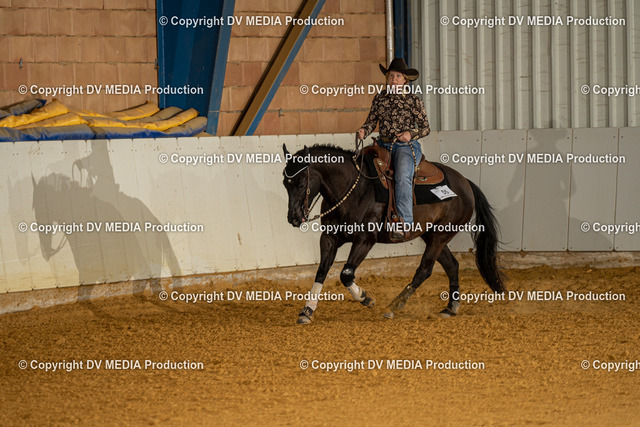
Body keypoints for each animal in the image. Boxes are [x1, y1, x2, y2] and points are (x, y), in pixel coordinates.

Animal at [282, 143, 505, 324]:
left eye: (301, 184)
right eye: (285, 183)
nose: (294, 218)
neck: (353, 190)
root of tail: (465, 182)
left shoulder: (365, 240)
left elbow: (346, 274)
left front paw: (366, 298)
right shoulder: (329, 238)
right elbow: (321, 271)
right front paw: (307, 311)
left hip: (441, 236)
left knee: (424, 269)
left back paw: (393, 307)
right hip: (432, 235)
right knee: (452, 265)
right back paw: (451, 308)